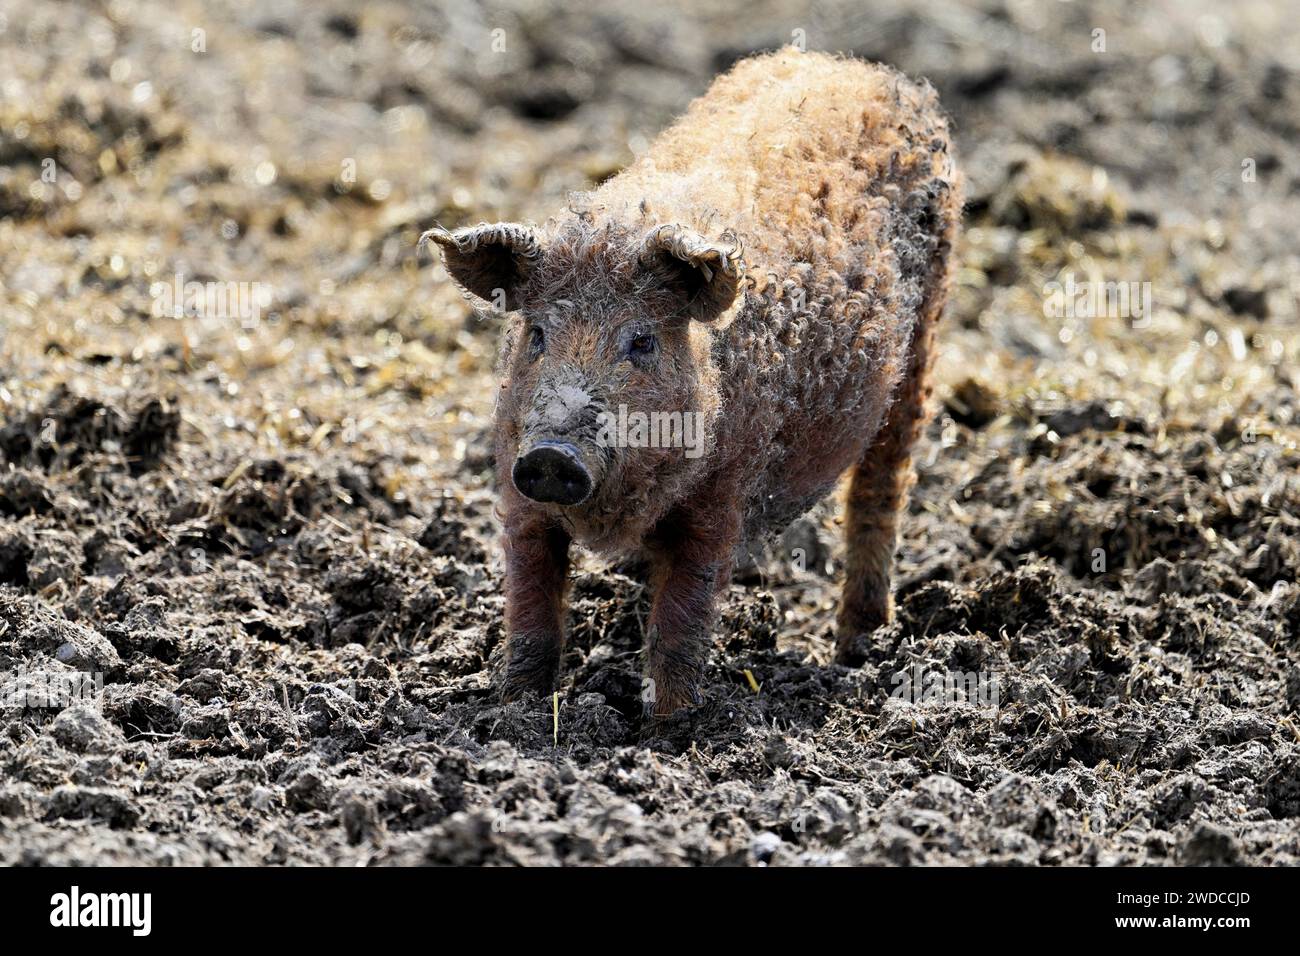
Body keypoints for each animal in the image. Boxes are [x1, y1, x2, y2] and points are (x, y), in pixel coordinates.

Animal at [423, 49, 962, 718]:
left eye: (642, 341)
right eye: (538, 332)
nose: (553, 454)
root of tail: (862, 68)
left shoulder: (721, 492)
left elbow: (683, 617)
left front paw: (671, 723)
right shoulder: (515, 479)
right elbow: (530, 607)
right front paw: (516, 708)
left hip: (924, 338)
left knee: (881, 486)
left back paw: (858, 648)